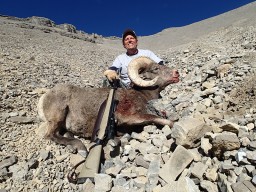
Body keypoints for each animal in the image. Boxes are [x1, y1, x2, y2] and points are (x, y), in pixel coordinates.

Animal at [37, 56, 180, 157]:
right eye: (156, 69)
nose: (176, 73)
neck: (142, 94)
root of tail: (46, 96)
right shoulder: (129, 117)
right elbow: (163, 120)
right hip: (58, 116)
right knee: (51, 135)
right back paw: (81, 148)